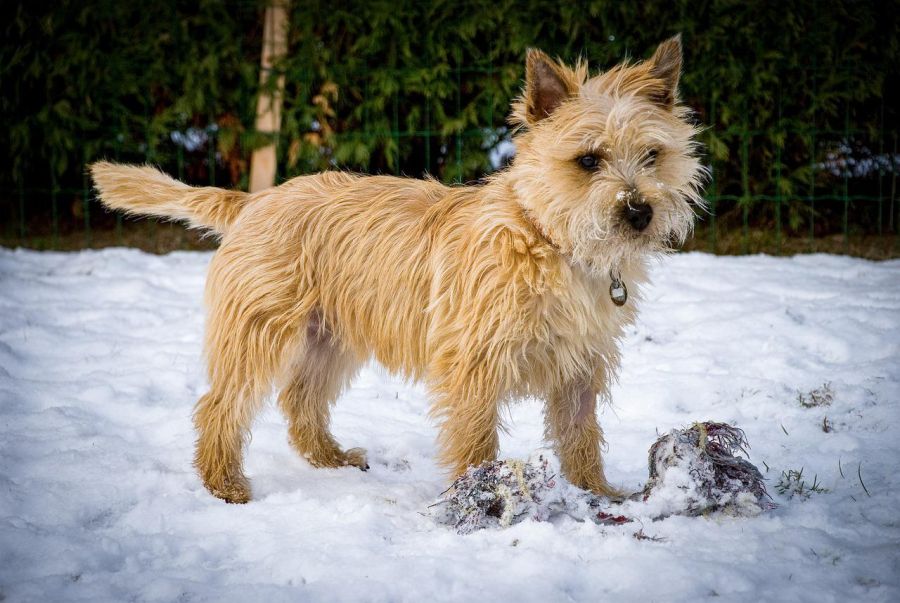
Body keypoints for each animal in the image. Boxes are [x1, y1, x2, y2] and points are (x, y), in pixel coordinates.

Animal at [95, 34, 708, 504]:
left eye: (652, 155)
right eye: (588, 160)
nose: (639, 211)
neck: (549, 240)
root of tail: (255, 200)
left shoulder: (579, 367)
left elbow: (581, 434)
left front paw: (596, 494)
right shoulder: (473, 364)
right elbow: (476, 439)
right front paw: (478, 498)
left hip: (328, 337)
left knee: (300, 401)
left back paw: (330, 458)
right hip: (259, 331)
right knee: (220, 406)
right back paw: (224, 485)